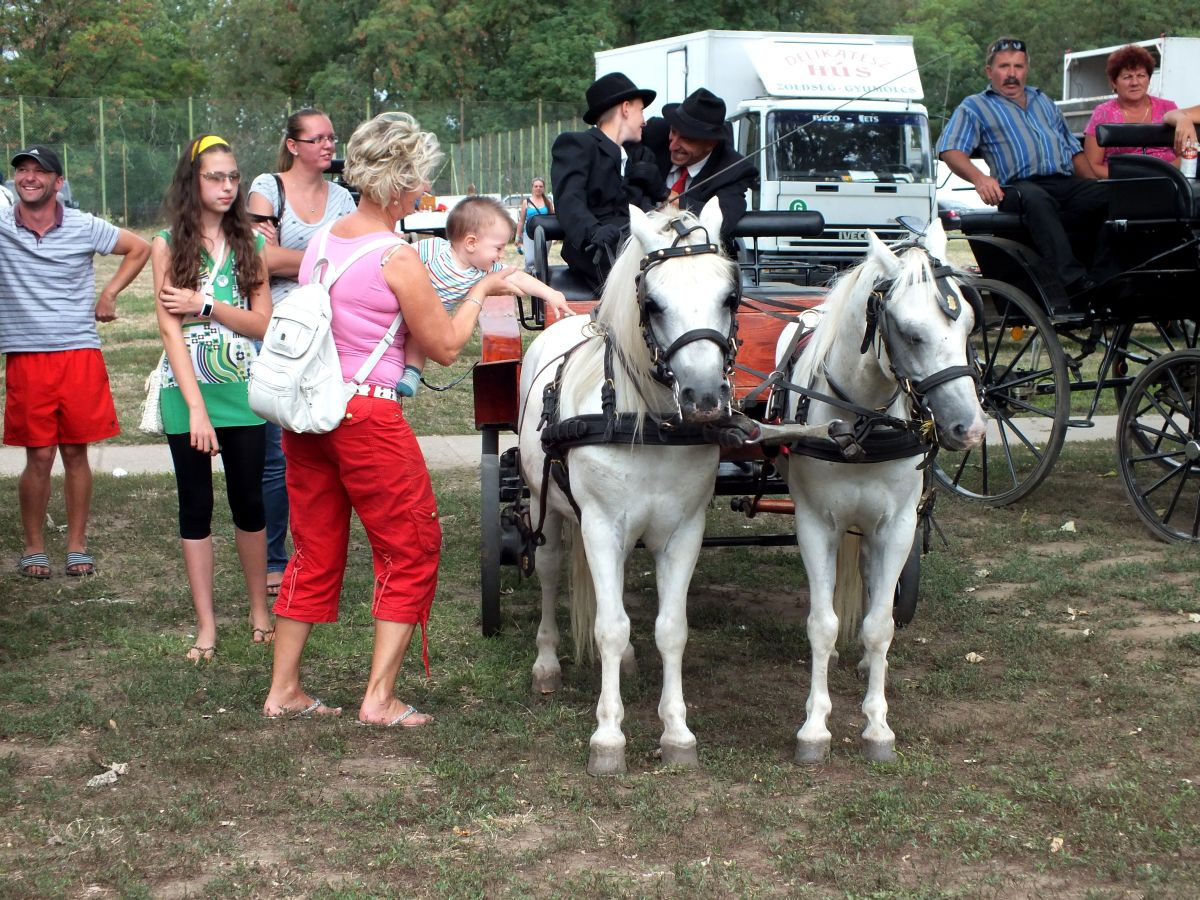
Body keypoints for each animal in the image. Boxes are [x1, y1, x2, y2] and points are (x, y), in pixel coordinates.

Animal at [518, 200, 739, 777]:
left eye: (729, 296)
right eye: (654, 303)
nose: (705, 398)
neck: (648, 423)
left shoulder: (684, 532)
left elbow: (671, 628)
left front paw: (677, 732)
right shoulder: (600, 525)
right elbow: (610, 627)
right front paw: (608, 737)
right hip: (547, 511)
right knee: (549, 574)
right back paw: (546, 662)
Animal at [777, 222, 984, 763]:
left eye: (969, 324)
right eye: (911, 333)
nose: (970, 429)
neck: (861, 424)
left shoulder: (898, 526)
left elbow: (880, 624)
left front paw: (876, 725)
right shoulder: (814, 525)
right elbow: (822, 623)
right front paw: (814, 728)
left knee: (875, 590)